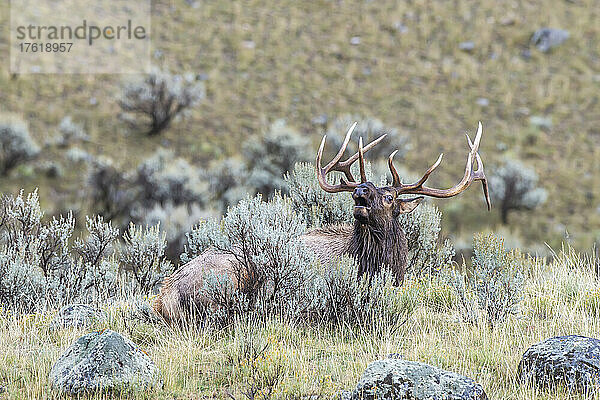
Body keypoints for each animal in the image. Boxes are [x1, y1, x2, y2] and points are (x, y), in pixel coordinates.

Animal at [152, 122, 490, 322]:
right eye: (366, 189)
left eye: (389, 197)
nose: (360, 190)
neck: (376, 263)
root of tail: (165, 295)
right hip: (229, 278)